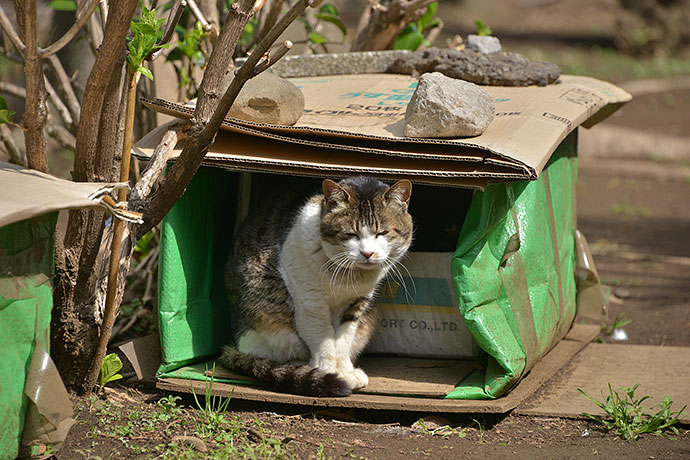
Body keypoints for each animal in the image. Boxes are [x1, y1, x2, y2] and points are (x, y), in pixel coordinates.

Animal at [220, 174, 412, 398]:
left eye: (382, 233)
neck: (348, 277)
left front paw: (345, 371)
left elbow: (344, 340)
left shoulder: (356, 303)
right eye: (351, 234)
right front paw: (328, 374)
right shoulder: (310, 301)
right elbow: (323, 339)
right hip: (267, 323)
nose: (367, 253)